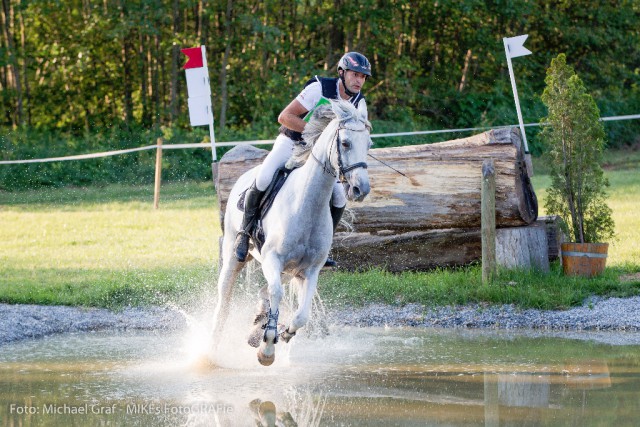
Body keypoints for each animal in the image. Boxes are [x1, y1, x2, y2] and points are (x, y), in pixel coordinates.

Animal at [211, 98, 370, 366]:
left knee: (264, 293)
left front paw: (282, 334)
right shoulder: (272, 259)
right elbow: (276, 293)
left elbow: (301, 315)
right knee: (224, 300)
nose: (361, 188)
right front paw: (266, 349)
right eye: (346, 143)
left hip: (289, 271)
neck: (306, 205)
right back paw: (210, 349)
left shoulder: (310, 270)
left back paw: (257, 328)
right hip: (235, 256)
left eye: (369, 144)